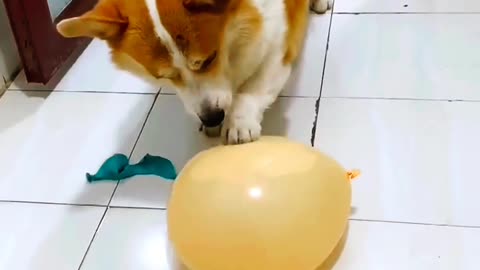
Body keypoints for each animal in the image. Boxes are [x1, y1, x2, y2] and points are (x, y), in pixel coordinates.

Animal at [55, 0, 326, 144]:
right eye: (164, 76)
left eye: (209, 59)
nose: (211, 118)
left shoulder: (279, 45)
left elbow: (253, 89)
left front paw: (239, 124)